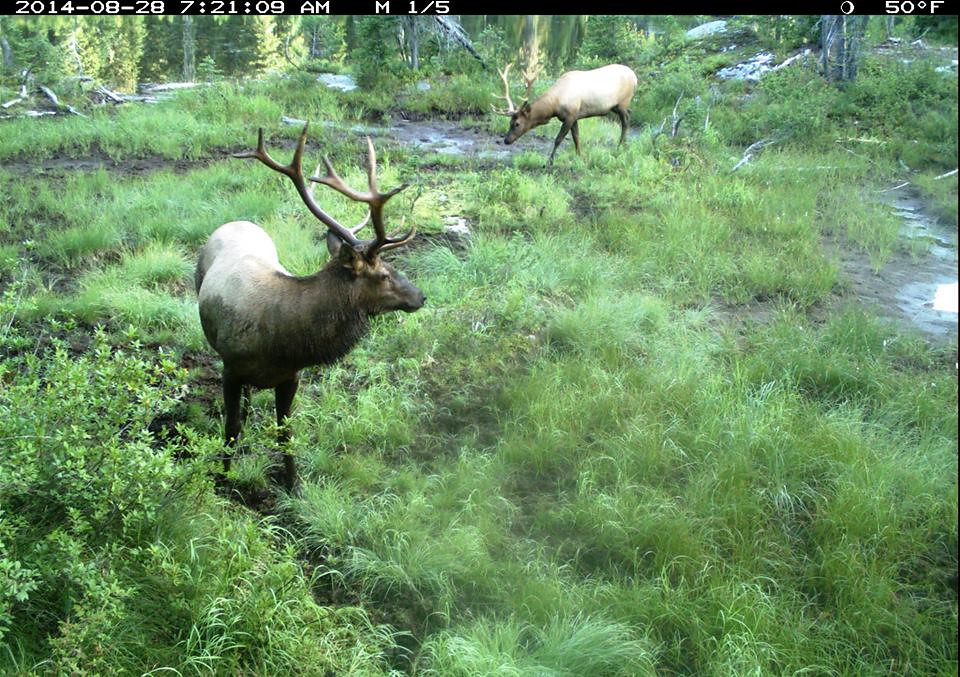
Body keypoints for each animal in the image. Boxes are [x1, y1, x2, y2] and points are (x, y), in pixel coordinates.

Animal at [197, 123, 426, 492]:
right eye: (383, 274)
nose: (420, 296)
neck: (281, 344)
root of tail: (237, 221)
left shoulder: (291, 376)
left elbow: (285, 433)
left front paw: (293, 485)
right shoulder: (230, 367)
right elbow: (230, 429)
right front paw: (221, 479)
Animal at [492, 61, 640, 166]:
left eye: (517, 124)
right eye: (509, 122)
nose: (506, 140)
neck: (555, 105)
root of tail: (635, 77)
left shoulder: (570, 116)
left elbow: (558, 139)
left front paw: (549, 162)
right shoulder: (574, 116)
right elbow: (576, 137)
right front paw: (580, 157)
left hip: (623, 102)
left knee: (626, 120)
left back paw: (620, 146)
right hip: (615, 106)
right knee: (630, 113)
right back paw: (624, 145)